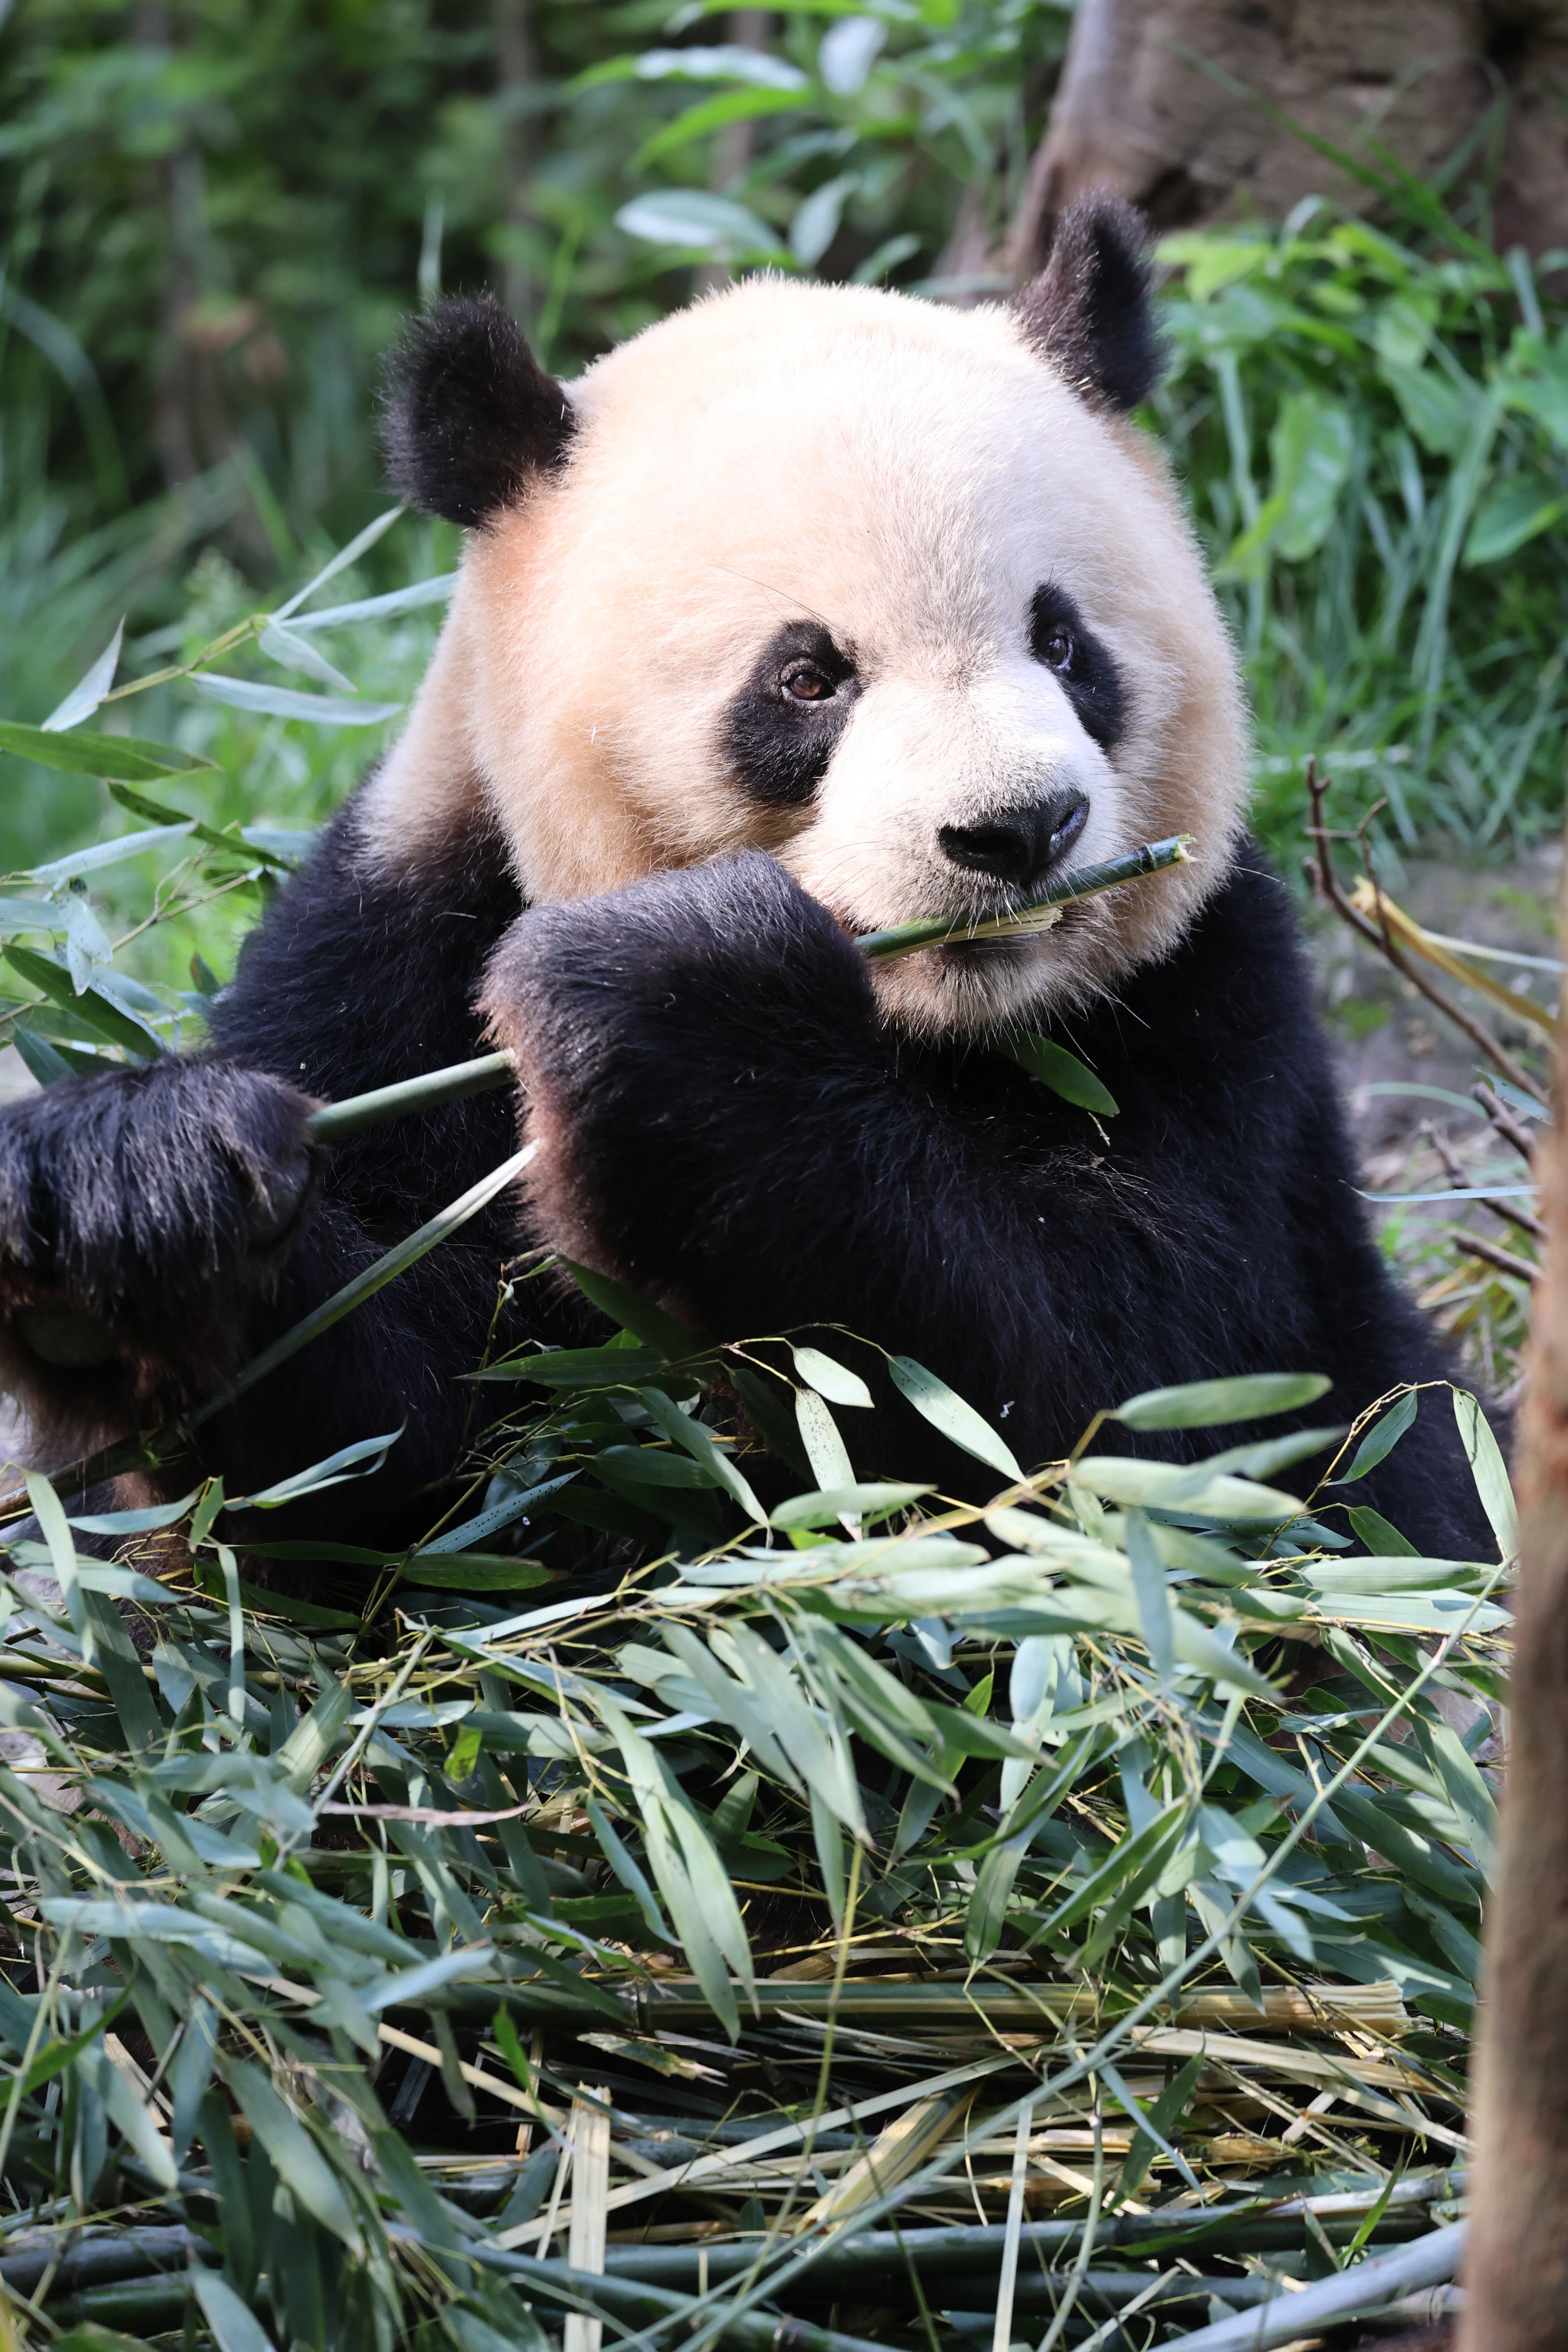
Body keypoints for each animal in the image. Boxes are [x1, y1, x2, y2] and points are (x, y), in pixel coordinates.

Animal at [0, 195, 1492, 1560]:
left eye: (1065, 644)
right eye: (807, 678)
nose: (1016, 832)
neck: (946, 1037)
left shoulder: (1211, 1009)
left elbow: (1180, 1414)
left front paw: (680, 1014)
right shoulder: (400, 948)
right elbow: (369, 1469)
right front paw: (123, 1202)